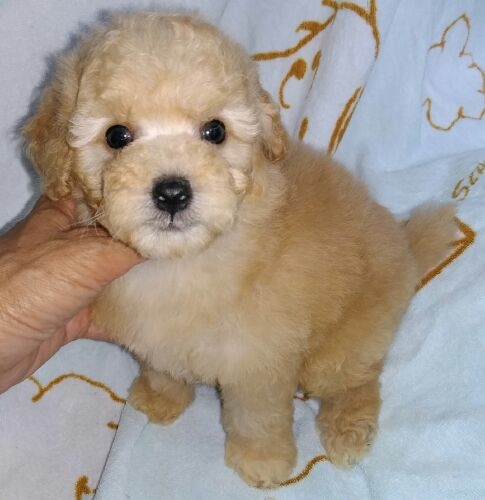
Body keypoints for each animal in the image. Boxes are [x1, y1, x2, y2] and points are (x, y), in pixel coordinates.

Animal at [23, 12, 455, 488]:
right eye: (117, 136)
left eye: (215, 131)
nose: (172, 192)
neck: (184, 263)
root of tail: (406, 248)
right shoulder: (154, 337)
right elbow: (161, 368)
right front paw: (161, 399)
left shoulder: (258, 361)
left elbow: (256, 417)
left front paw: (262, 461)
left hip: (344, 345)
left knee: (357, 380)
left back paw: (347, 429)